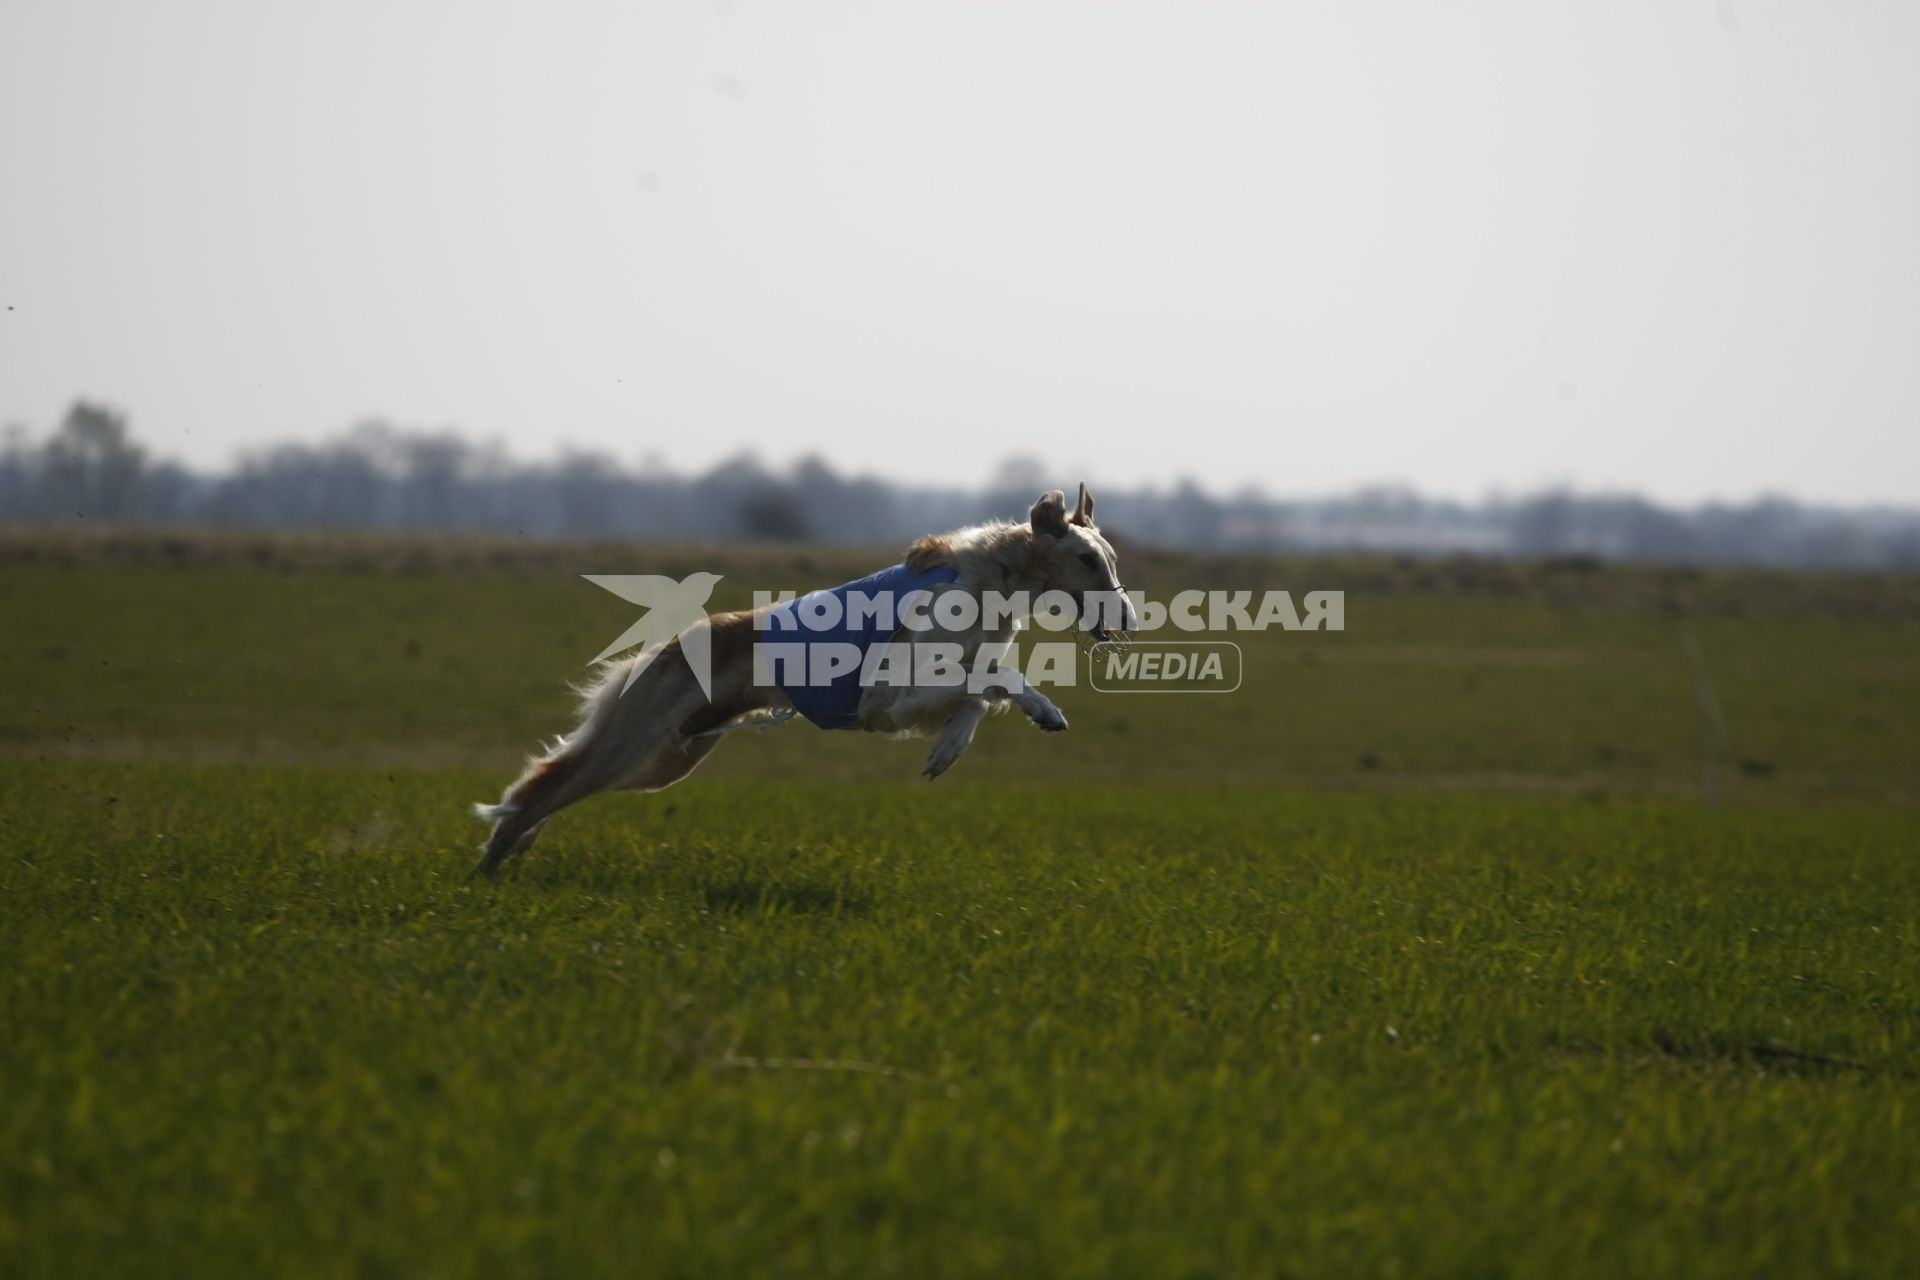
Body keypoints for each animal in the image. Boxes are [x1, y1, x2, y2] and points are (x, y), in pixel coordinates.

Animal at [472, 485, 1128, 875]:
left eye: (1112, 558)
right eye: (1087, 560)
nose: (1128, 618)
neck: (989, 581)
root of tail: (664, 647)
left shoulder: (910, 700)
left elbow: (979, 695)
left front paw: (947, 751)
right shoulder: (885, 699)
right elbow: (997, 677)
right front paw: (1043, 708)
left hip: (667, 759)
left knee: (546, 792)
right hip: (636, 744)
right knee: (540, 788)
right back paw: (488, 868)